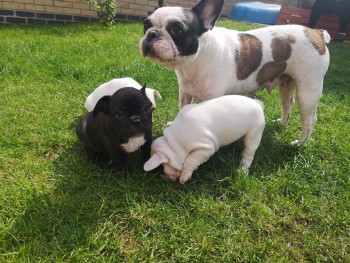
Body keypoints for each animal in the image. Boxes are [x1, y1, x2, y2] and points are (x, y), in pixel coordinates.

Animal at [138, 0, 330, 145]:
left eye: (176, 29)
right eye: (146, 24)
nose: (152, 34)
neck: (195, 61)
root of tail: (315, 32)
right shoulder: (185, 93)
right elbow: (182, 108)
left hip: (308, 91)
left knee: (309, 119)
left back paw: (300, 143)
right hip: (286, 82)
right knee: (287, 104)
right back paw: (282, 123)